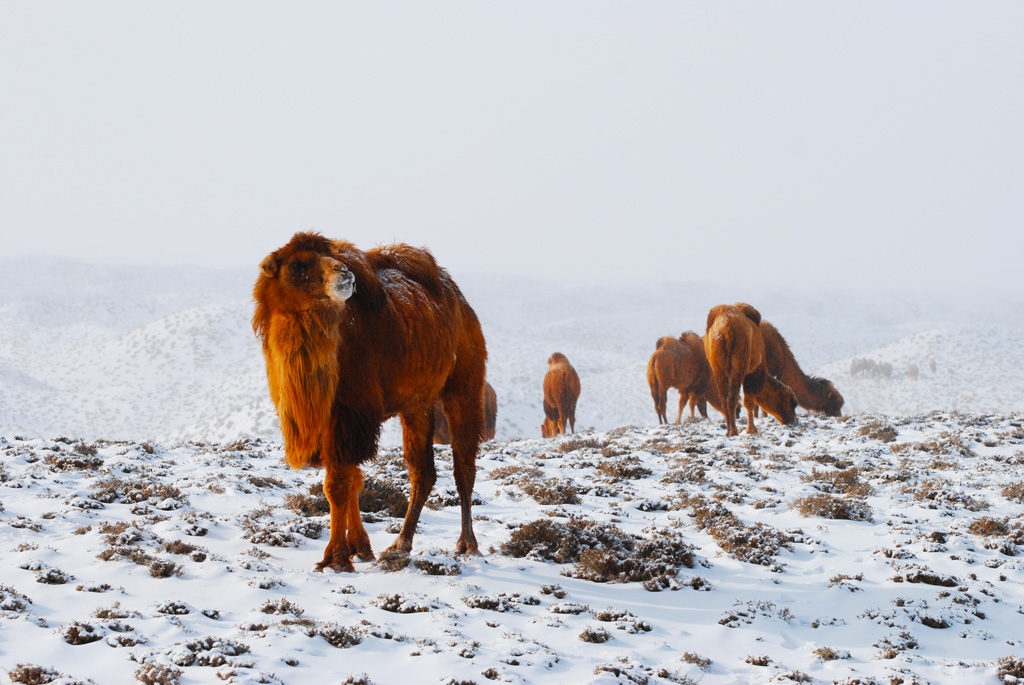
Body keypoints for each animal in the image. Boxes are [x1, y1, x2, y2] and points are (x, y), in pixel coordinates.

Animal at [704, 301, 798, 436]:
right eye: (792, 402)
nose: (794, 420)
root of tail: (725, 328)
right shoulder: (753, 372)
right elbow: (750, 401)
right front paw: (752, 429)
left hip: (718, 367)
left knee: (724, 398)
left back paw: (728, 431)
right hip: (738, 365)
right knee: (732, 398)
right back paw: (733, 431)